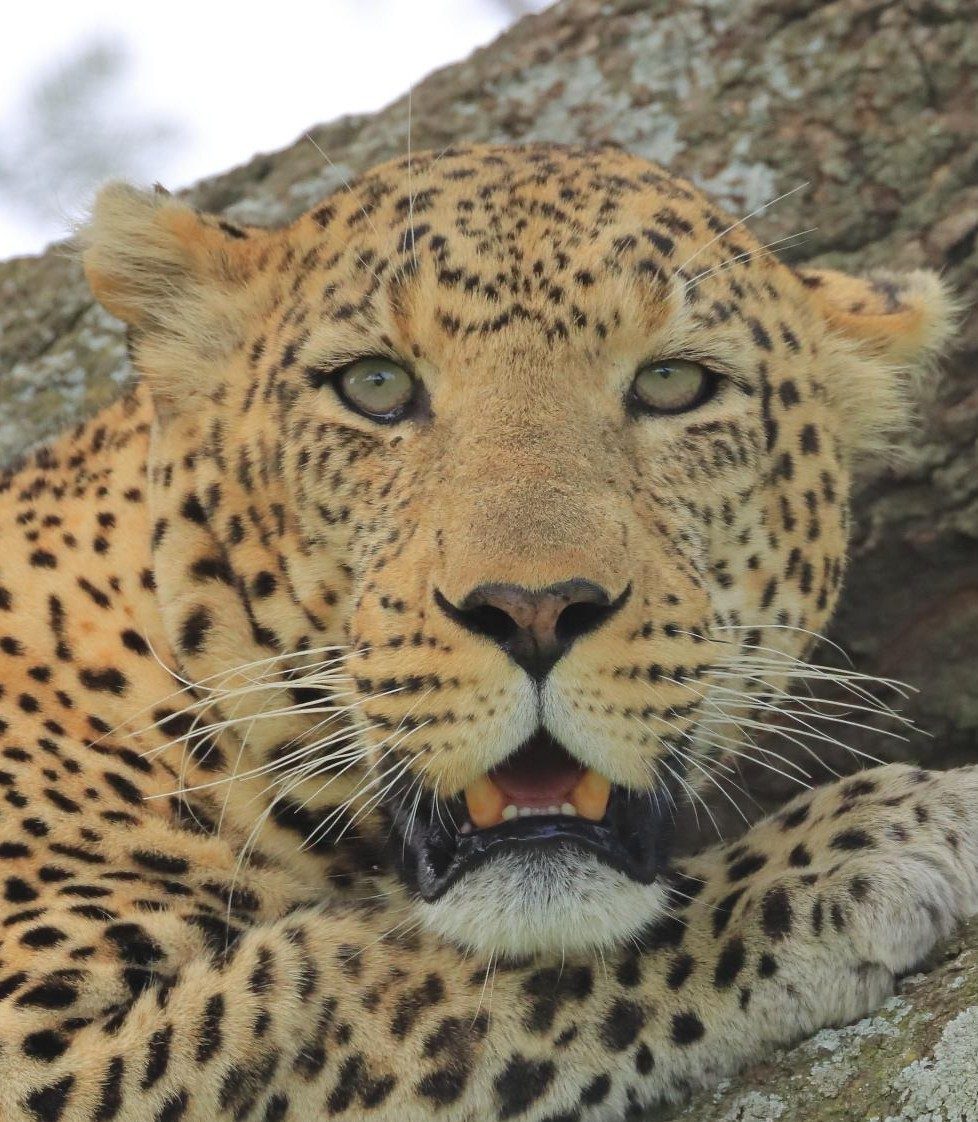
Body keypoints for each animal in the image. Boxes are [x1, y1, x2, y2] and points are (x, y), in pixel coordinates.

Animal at [0, 141, 975, 1122]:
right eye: (375, 385)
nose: (534, 611)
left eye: (674, 382)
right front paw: (876, 840)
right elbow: (349, 979)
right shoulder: (42, 1049)